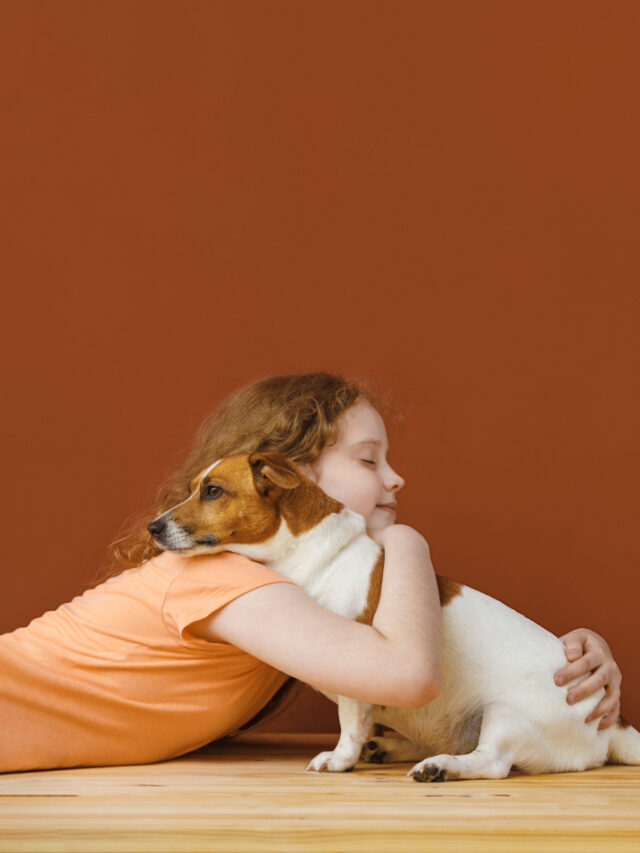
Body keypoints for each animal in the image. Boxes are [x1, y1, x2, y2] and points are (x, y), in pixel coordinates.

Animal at [146, 452, 640, 780]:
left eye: (213, 491)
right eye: (194, 488)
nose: (153, 526)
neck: (302, 553)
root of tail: (612, 728)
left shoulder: (354, 665)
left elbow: (349, 723)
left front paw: (339, 759)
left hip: (506, 713)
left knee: (492, 763)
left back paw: (441, 767)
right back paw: (389, 747)